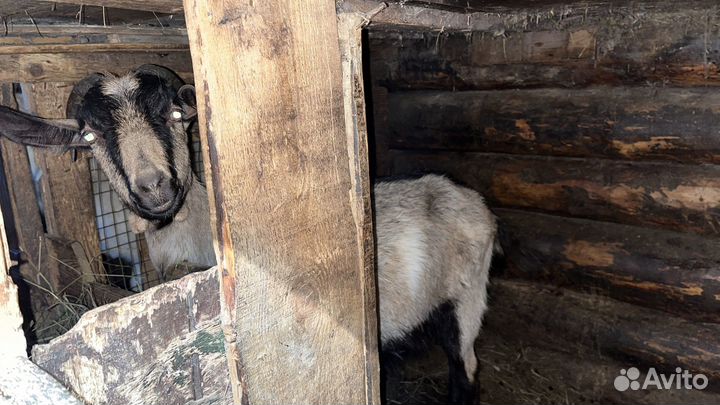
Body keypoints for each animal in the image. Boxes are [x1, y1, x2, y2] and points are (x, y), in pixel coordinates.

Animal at [0, 67, 496, 404]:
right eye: (89, 136)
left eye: (175, 115)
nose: (154, 186)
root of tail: (475, 203)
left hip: (468, 297)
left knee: (466, 366)